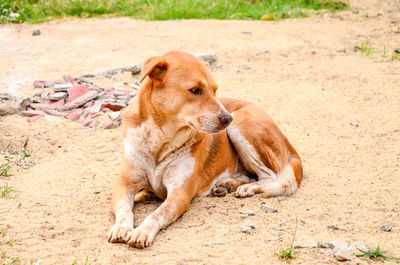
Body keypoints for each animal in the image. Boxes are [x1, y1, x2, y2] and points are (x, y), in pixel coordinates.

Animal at [108, 50, 302, 248]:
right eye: (195, 90)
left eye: (215, 90)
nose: (227, 118)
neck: (160, 139)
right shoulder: (124, 184)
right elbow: (124, 209)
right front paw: (121, 228)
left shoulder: (179, 193)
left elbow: (157, 214)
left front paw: (142, 231)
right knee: (250, 175)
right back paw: (227, 185)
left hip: (241, 124)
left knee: (272, 178)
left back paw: (248, 188)